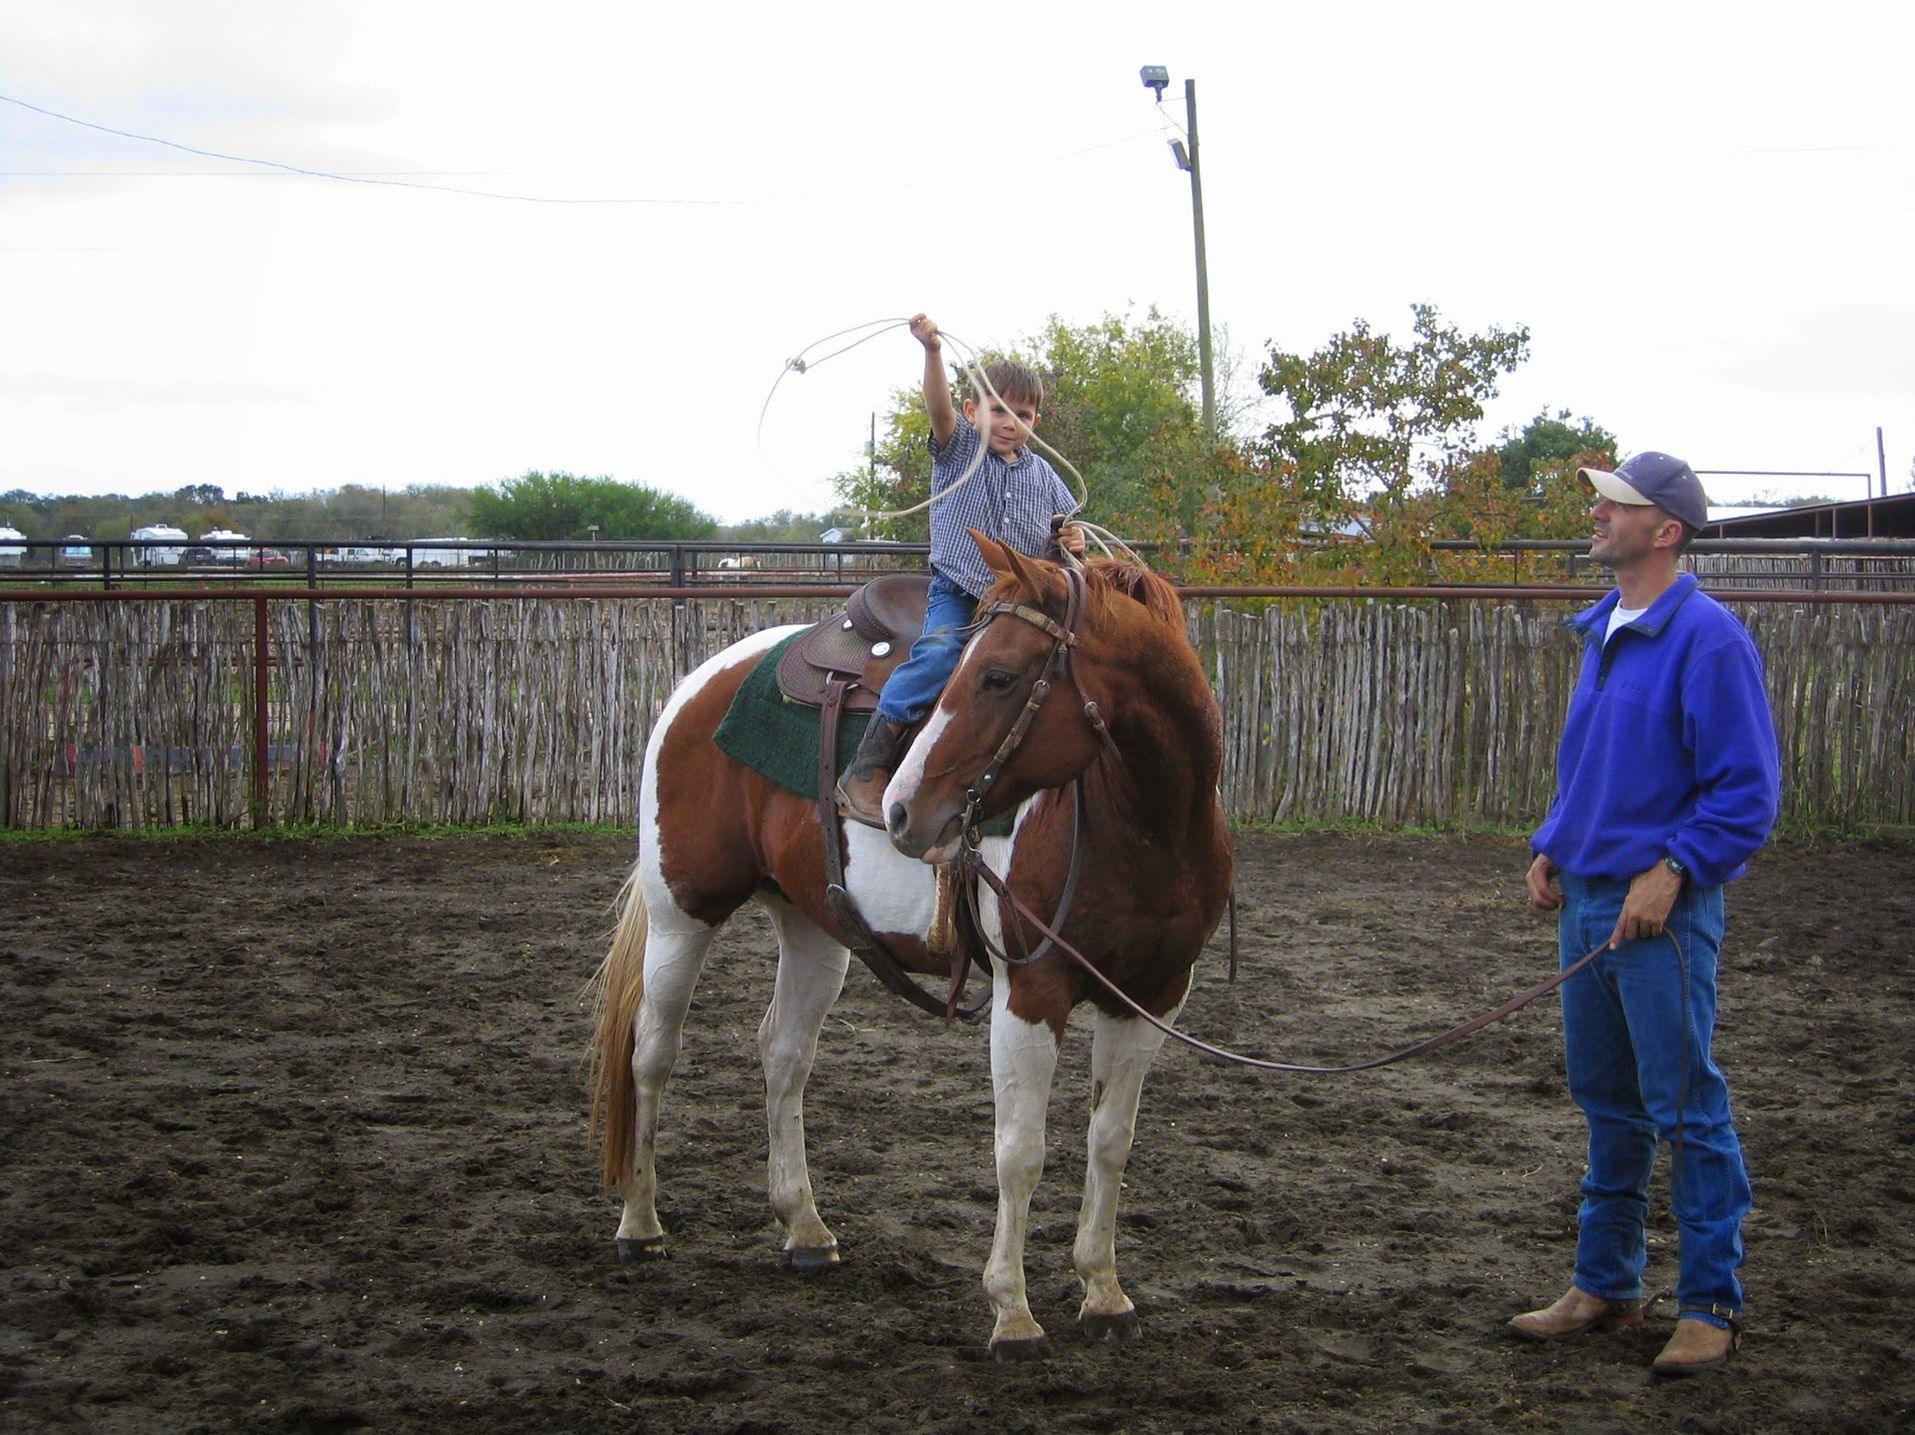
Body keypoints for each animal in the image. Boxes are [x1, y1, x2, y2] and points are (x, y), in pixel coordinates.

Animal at [588, 531, 1233, 1359]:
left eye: (997, 675)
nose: (900, 809)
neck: (1145, 825)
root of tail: (702, 680)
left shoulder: (1152, 996)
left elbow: (1110, 1141)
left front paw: (1103, 1290)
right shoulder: (1030, 993)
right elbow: (1019, 1150)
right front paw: (1012, 1312)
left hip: (812, 924)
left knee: (783, 1054)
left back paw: (804, 1227)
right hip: (683, 911)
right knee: (651, 1052)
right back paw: (639, 1222)